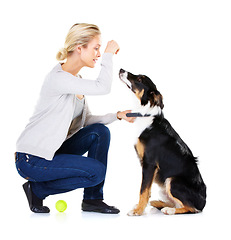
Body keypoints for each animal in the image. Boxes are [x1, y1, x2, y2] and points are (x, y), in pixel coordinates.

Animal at [119, 69, 206, 216]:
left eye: (140, 79)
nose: (121, 70)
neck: (145, 114)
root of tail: (204, 202)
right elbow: (146, 190)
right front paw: (141, 207)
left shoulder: (149, 163)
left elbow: (143, 190)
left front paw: (138, 210)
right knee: (177, 203)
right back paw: (158, 203)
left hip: (172, 181)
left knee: (191, 208)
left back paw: (169, 210)